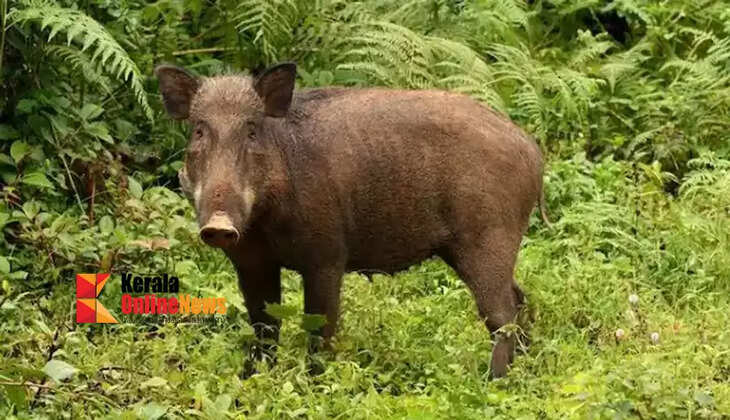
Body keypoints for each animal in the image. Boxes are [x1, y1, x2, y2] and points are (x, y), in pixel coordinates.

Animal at [155, 62, 549, 379]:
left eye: (251, 130)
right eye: (198, 130)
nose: (219, 225)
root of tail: (532, 149)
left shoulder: (327, 257)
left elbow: (320, 326)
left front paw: (315, 383)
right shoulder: (251, 262)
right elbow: (264, 326)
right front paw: (254, 379)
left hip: (488, 238)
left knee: (502, 314)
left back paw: (493, 381)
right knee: (518, 298)